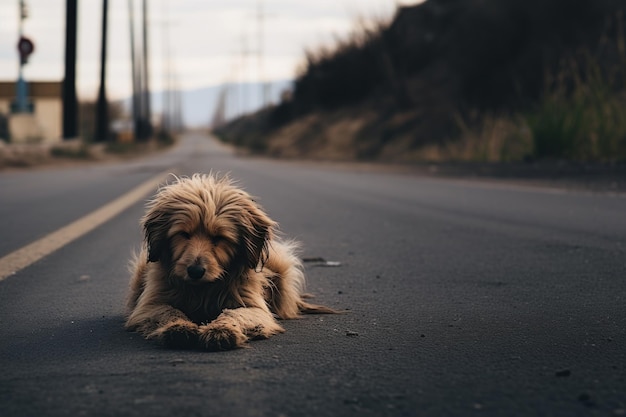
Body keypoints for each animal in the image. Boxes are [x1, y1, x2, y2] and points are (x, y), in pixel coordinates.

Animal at [123, 174, 334, 350]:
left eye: (219, 238)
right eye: (183, 234)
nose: (195, 271)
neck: (203, 291)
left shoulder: (254, 307)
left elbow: (235, 314)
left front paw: (221, 330)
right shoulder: (150, 305)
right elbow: (169, 311)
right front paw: (178, 328)